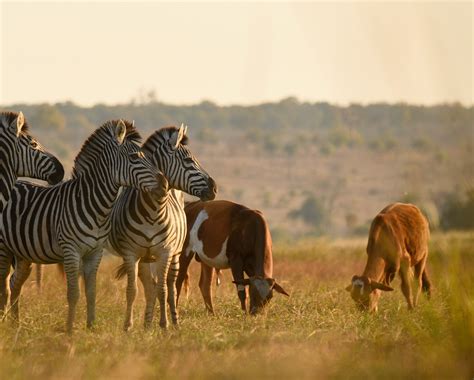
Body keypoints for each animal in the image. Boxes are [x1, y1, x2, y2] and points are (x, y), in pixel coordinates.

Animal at [0, 119, 161, 332]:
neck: (95, 205)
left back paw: (15, 324)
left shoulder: (95, 252)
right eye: (134, 157)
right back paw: (4, 322)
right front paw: (69, 329)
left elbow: (91, 291)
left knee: (14, 284)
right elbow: (73, 293)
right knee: (4, 285)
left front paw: (91, 326)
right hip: (3, 248)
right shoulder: (71, 251)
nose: (164, 182)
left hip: (23, 253)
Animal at [108, 124, 217, 330]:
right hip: (146, 259)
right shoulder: (131, 253)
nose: (214, 188)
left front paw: (164, 325)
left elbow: (163, 290)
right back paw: (147, 324)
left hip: (175, 255)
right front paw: (129, 326)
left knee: (171, 287)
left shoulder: (165, 252)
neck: (152, 211)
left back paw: (174, 322)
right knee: (150, 287)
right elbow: (133, 290)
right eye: (188, 160)